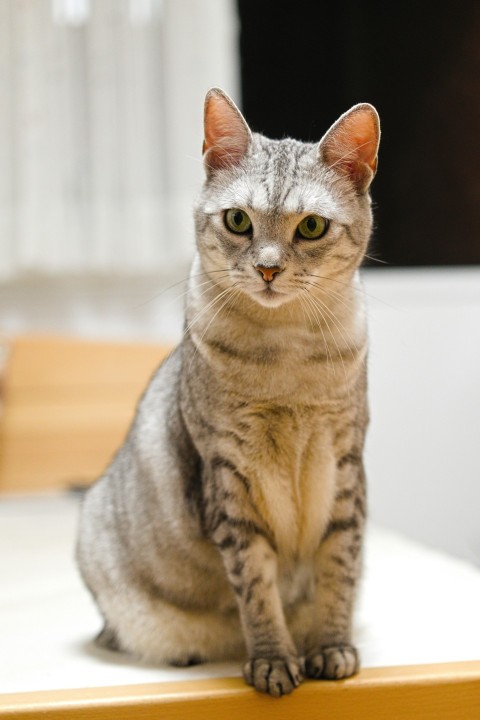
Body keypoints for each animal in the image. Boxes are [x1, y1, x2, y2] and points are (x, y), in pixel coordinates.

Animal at [77, 87, 380, 696]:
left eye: (312, 227)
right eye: (238, 220)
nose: (267, 269)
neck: (285, 356)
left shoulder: (346, 466)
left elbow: (337, 570)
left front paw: (331, 648)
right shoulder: (227, 478)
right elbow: (257, 589)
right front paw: (273, 660)